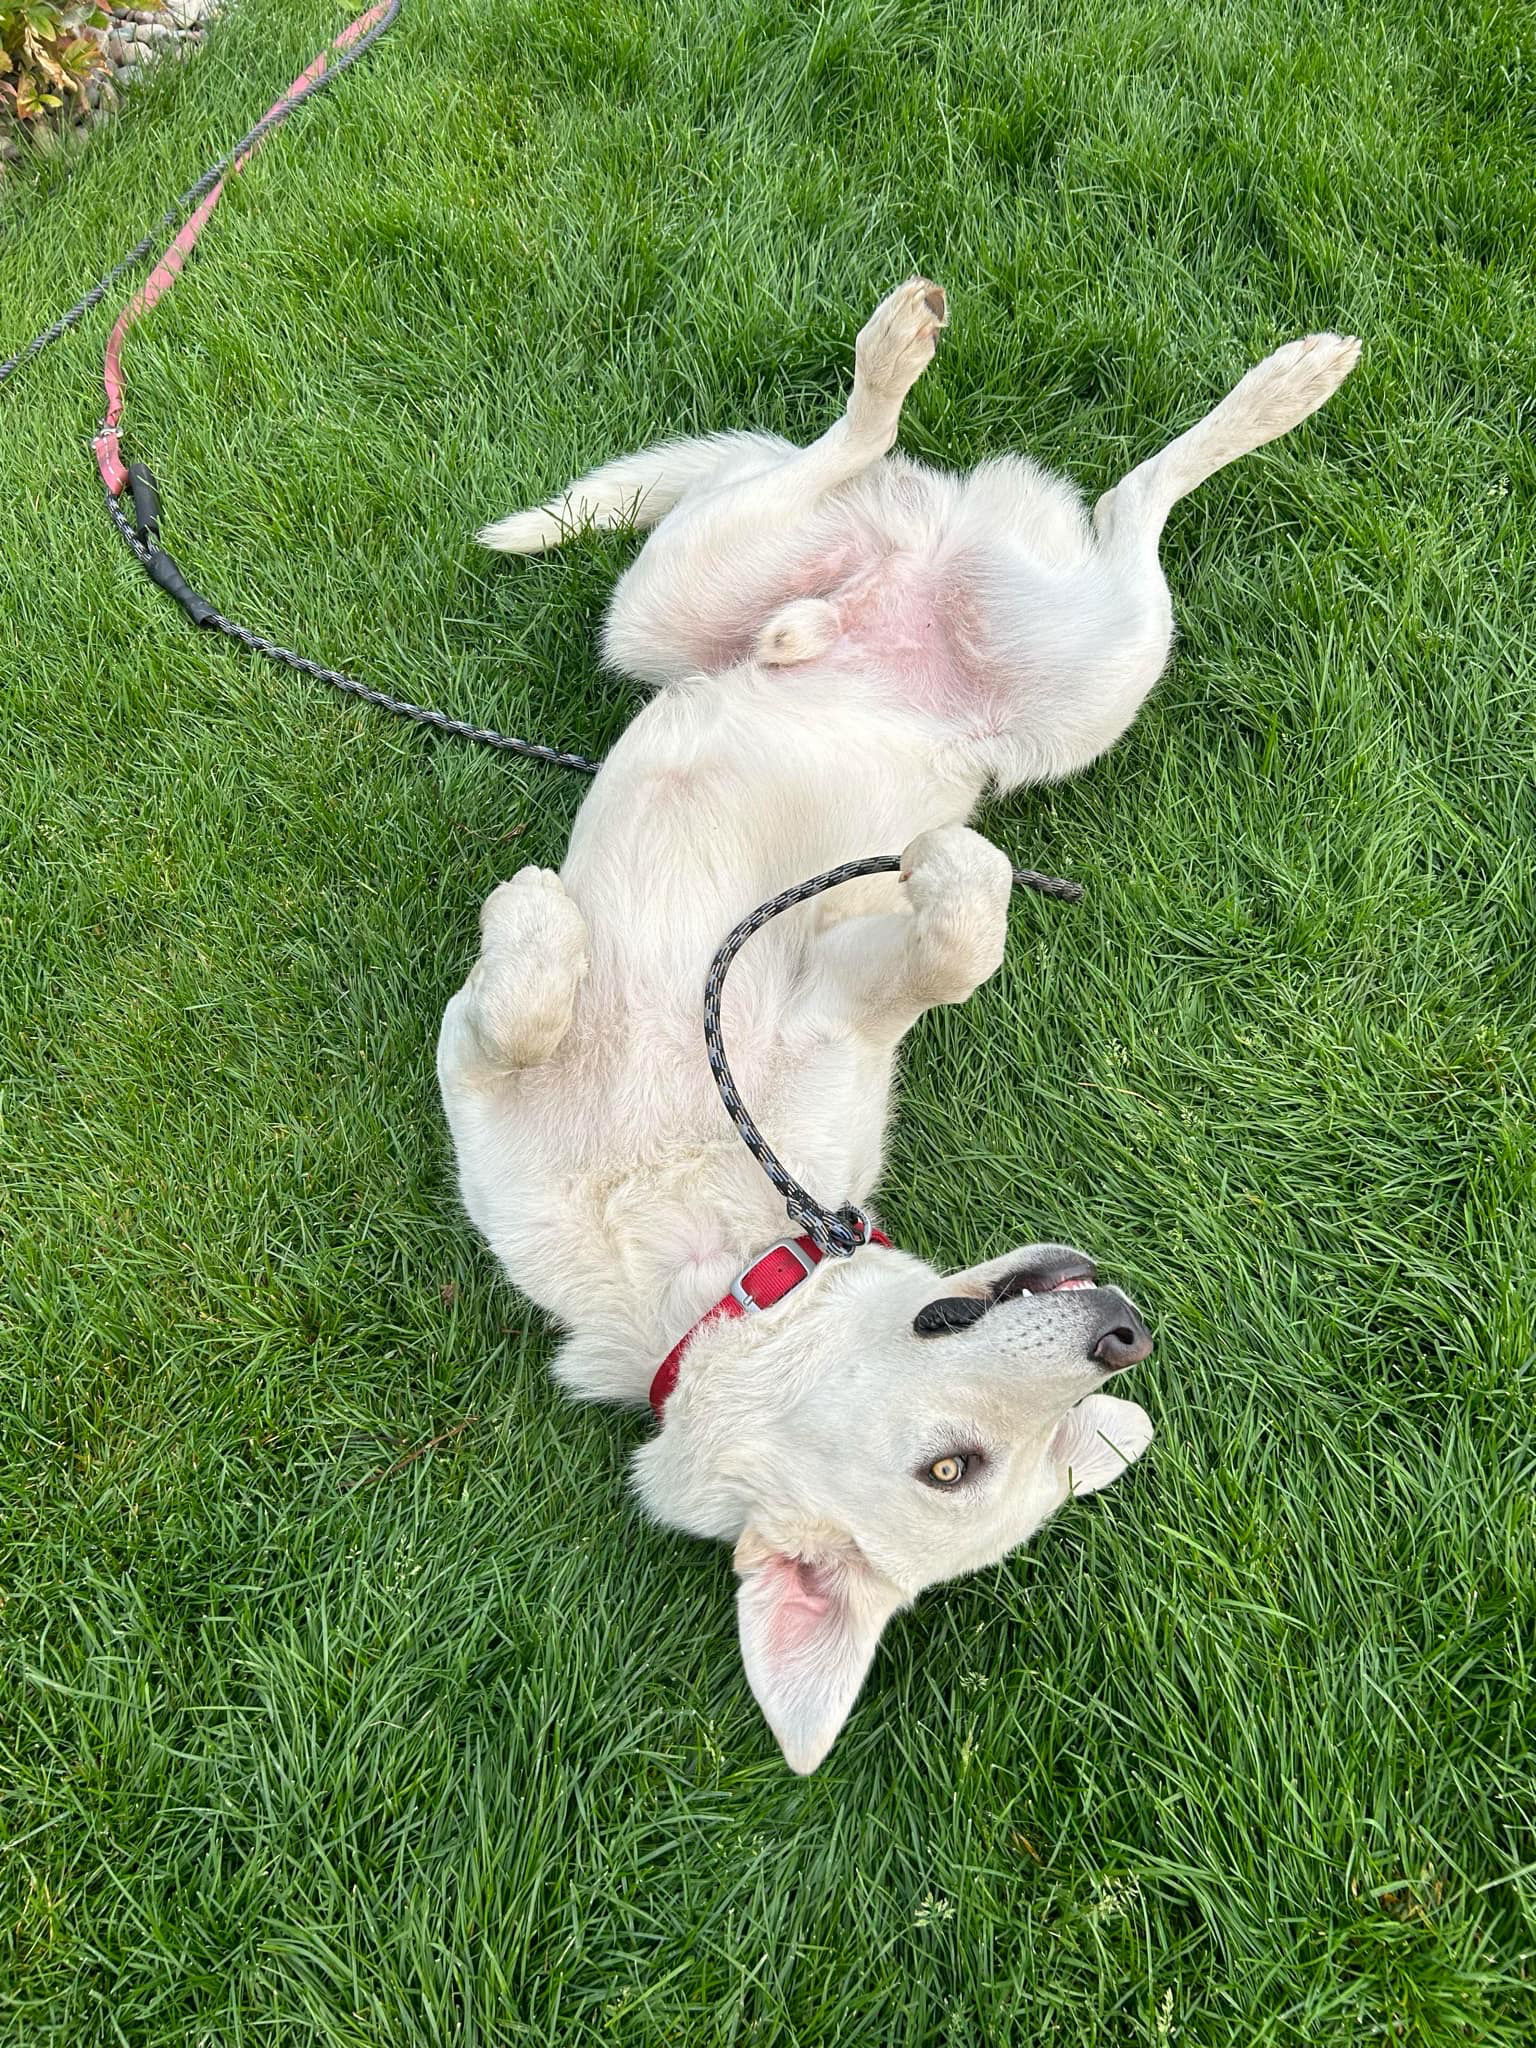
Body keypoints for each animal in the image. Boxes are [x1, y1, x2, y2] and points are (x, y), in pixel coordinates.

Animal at [442, 288, 1359, 1777]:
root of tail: (919, 568)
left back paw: (1269, 386)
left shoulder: (833, 991)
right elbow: (517, 1015)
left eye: (1005, 1461)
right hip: (682, 603)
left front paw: (949, 867)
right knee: (1019, 483)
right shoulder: (486, 1083)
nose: (1126, 1333)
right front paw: (540, 928)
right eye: (953, 1467)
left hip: (1080, 673)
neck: (713, 1259)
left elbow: (957, 935)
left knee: (1131, 497)